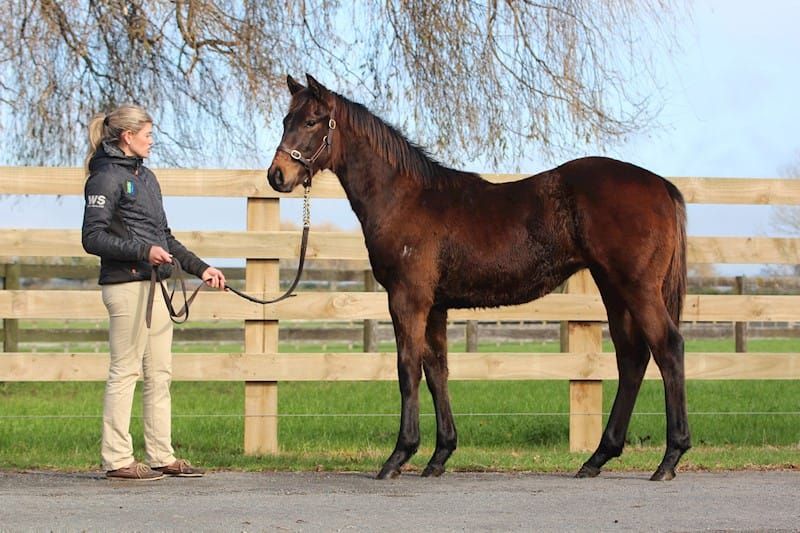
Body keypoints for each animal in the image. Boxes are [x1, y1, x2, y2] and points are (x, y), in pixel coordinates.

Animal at [267, 74, 690, 482]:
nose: (277, 175)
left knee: (667, 348)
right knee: (632, 357)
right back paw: (598, 458)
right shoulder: (435, 306)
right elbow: (436, 370)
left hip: (636, 288)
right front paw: (439, 455)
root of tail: (661, 186)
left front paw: (399, 456)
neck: (405, 198)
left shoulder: (408, 299)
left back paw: (669, 458)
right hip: (613, 289)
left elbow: (407, 369)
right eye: (286, 120)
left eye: (310, 121)